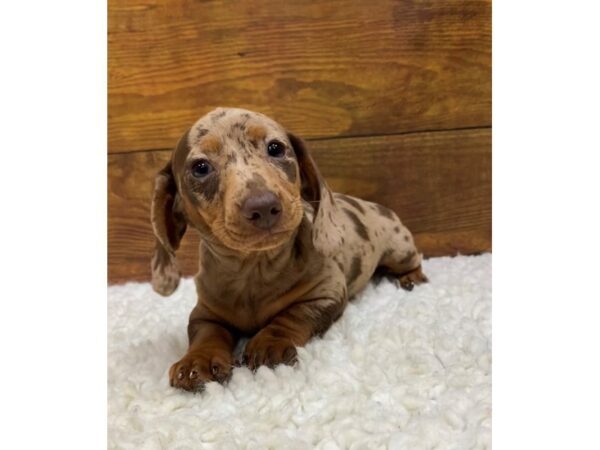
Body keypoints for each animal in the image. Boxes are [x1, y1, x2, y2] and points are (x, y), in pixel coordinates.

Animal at [152, 108, 428, 390]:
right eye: (200, 167)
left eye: (275, 148)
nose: (263, 206)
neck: (253, 269)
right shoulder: (205, 313)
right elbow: (206, 332)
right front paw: (198, 360)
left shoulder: (326, 292)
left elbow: (293, 314)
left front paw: (269, 343)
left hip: (400, 250)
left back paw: (411, 277)